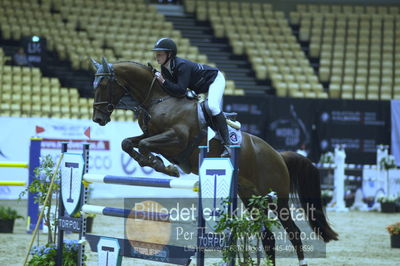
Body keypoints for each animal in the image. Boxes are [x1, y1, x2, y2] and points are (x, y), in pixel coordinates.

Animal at [90, 57, 338, 264]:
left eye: (103, 85)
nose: (98, 119)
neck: (158, 98)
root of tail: (278, 155)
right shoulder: (150, 134)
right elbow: (128, 143)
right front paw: (153, 162)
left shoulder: (176, 139)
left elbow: (144, 145)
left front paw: (164, 167)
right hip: (251, 199)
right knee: (268, 237)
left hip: (277, 200)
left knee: (293, 232)